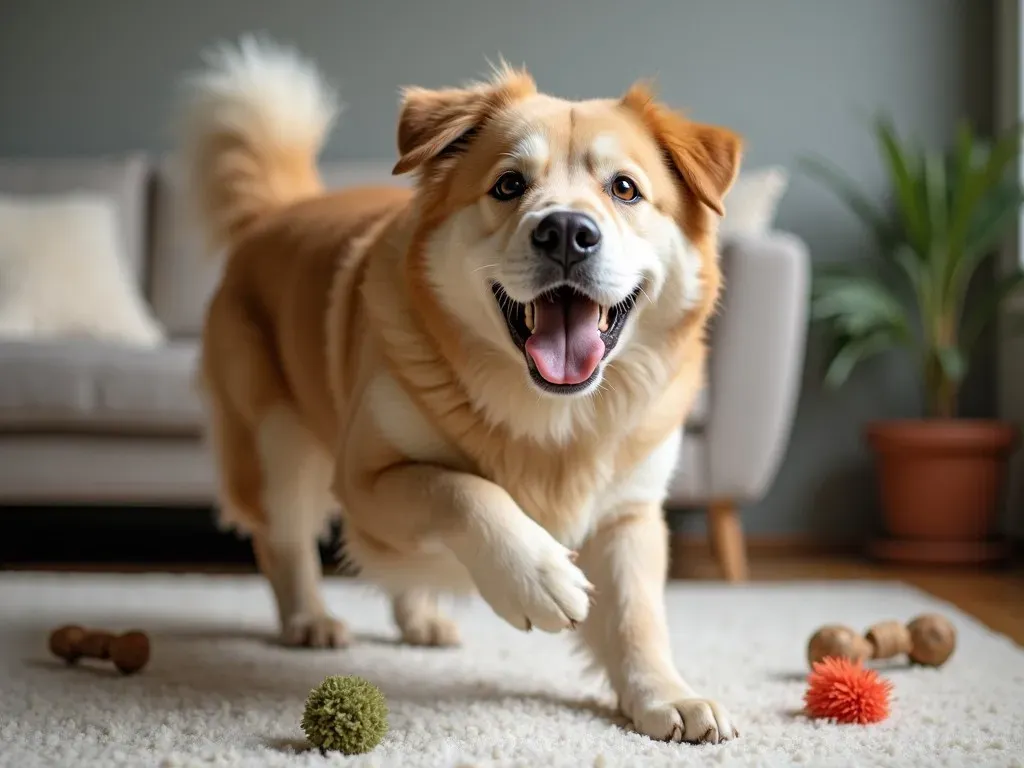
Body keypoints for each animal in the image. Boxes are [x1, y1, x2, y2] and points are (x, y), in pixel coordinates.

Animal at [180, 37, 745, 745]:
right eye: (509, 185)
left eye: (625, 189)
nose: (566, 231)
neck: (554, 418)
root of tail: (279, 211)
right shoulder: (365, 479)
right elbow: (460, 488)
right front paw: (535, 576)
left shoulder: (630, 511)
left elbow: (637, 616)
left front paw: (664, 695)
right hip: (278, 442)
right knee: (284, 540)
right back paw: (308, 618)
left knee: (396, 567)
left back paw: (420, 617)